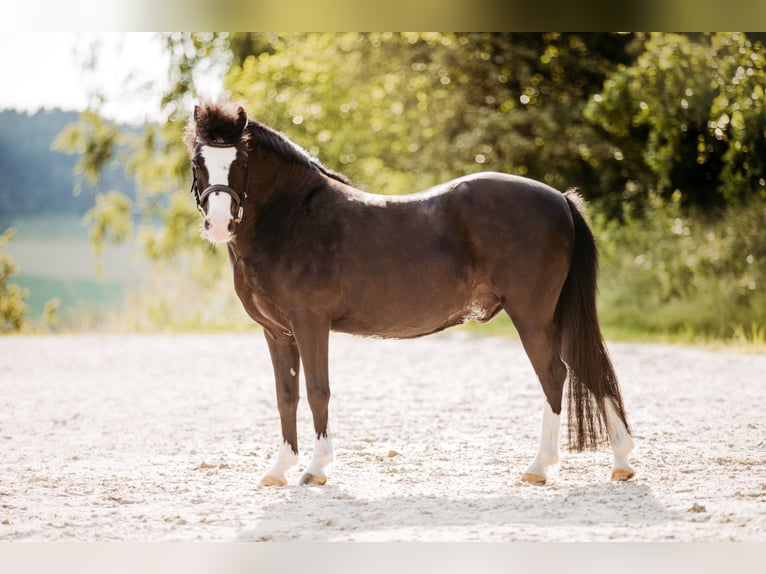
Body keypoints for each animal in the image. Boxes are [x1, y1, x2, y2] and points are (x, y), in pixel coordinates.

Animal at [184, 101, 635, 487]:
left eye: (241, 161)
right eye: (198, 162)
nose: (220, 224)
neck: (293, 217)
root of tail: (560, 198)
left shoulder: (310, 323)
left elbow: (316, 390)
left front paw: (316, 468)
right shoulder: (278, 332)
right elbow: (286, 396)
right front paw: (279, 469)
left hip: (532, 315)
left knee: (554, 374)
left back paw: (540, 466)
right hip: (554, 315)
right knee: (586, 367)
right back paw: (622, 461)